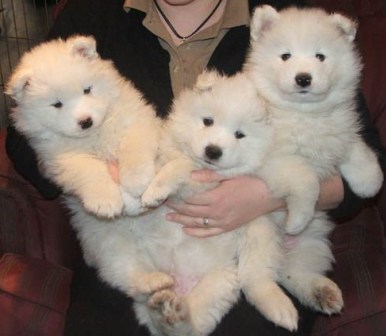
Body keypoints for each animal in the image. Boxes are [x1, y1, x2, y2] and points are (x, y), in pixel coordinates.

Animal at [6, 35, 160, 217]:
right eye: (57, 104)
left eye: (87, 90)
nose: (86, 122)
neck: (95, 135)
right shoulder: (62, 157)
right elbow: (89, 170)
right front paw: (105, 201)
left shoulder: (136, 120)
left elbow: (134, 147)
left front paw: (137, 180)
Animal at [244, 5, 382, 236]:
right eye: (285, 56)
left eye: (320, 56)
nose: (303, 78)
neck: (304, 114)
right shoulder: (274, 160)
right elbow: (306, 180)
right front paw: (297, 220)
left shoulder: (338, 134)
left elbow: (357, 149)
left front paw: (370, 180)